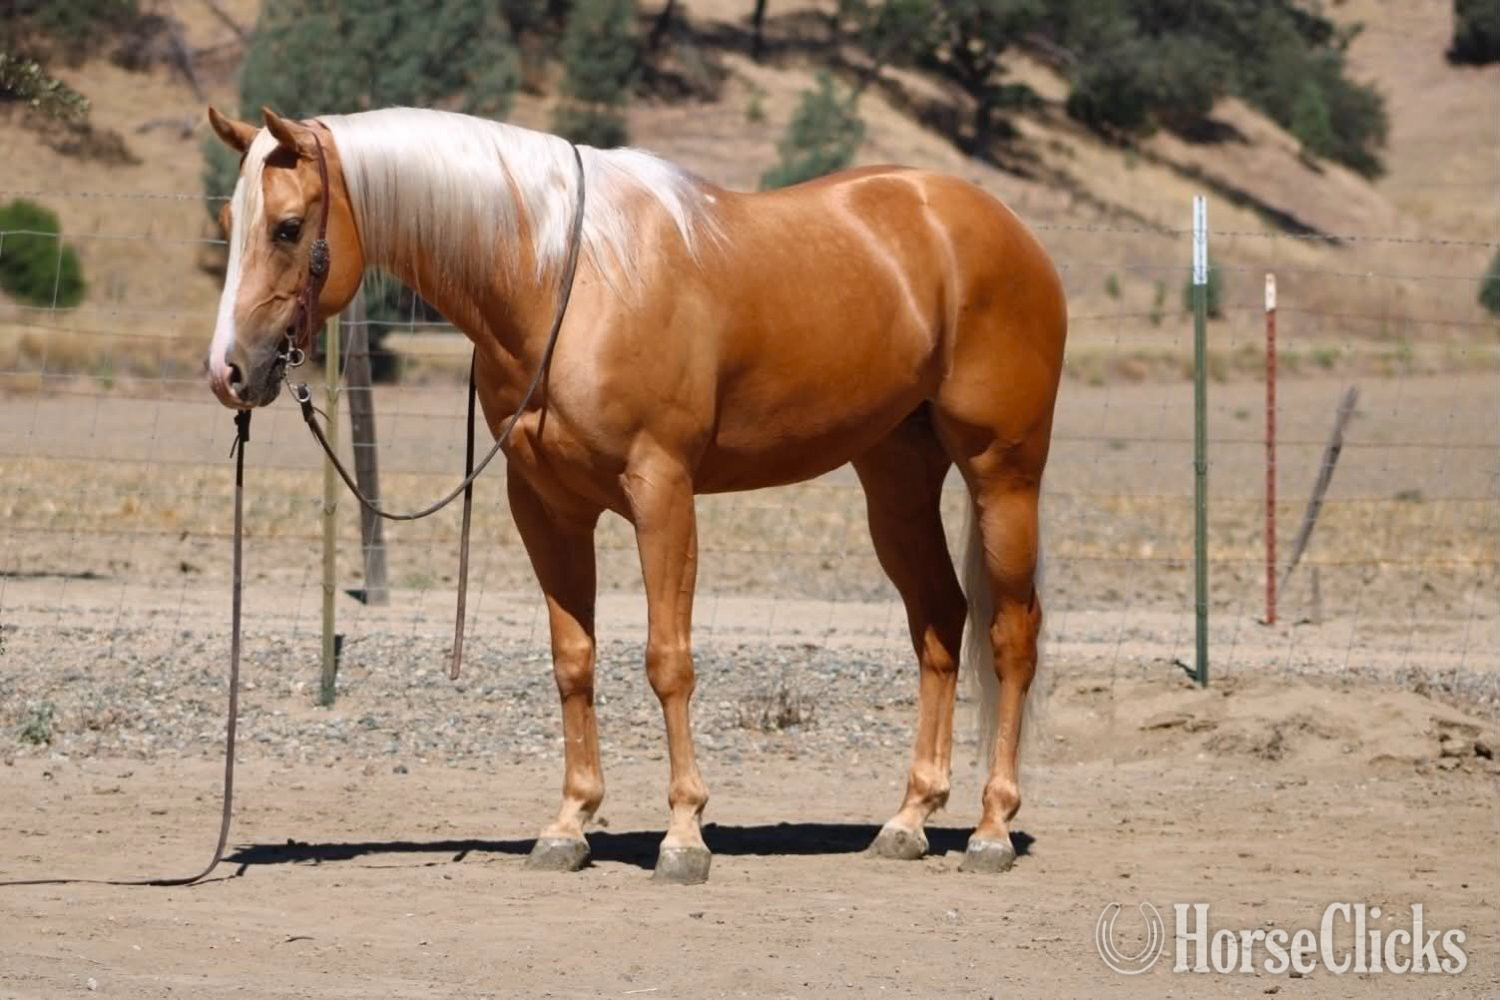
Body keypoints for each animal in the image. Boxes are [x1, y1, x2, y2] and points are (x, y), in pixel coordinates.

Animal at [204, 105, 1066, 884]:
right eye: (230, 220)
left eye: (288, 227)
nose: (230, 373)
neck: (561, 280)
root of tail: (1006, 230)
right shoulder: (546, 507)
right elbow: (573, 660)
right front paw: (569, 826)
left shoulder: (664, 493)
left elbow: (667, 660)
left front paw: (684, 836)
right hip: (895, 477)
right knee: (940, 622)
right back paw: (910, 820)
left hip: (1003, 473)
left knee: (1011, 634)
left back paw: (991, 828)